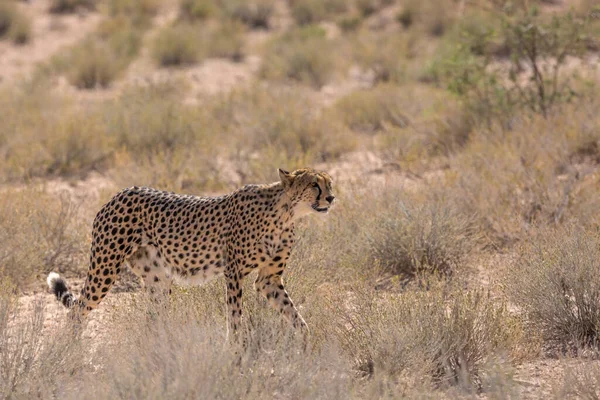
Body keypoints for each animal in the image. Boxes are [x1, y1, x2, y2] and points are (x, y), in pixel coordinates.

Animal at [47, 167, 336, 336]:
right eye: (314, 185)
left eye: (330, 184)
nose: (331, 198)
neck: (285, 212)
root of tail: (118, 193)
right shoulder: (233, 273)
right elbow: (235, 318)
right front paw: (237, 353)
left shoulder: (269, 279)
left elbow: (294, 314)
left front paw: (306, 345)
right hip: (105, 269)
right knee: (77, 311)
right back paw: (71, 354)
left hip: (158, 279)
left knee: (154, 318)